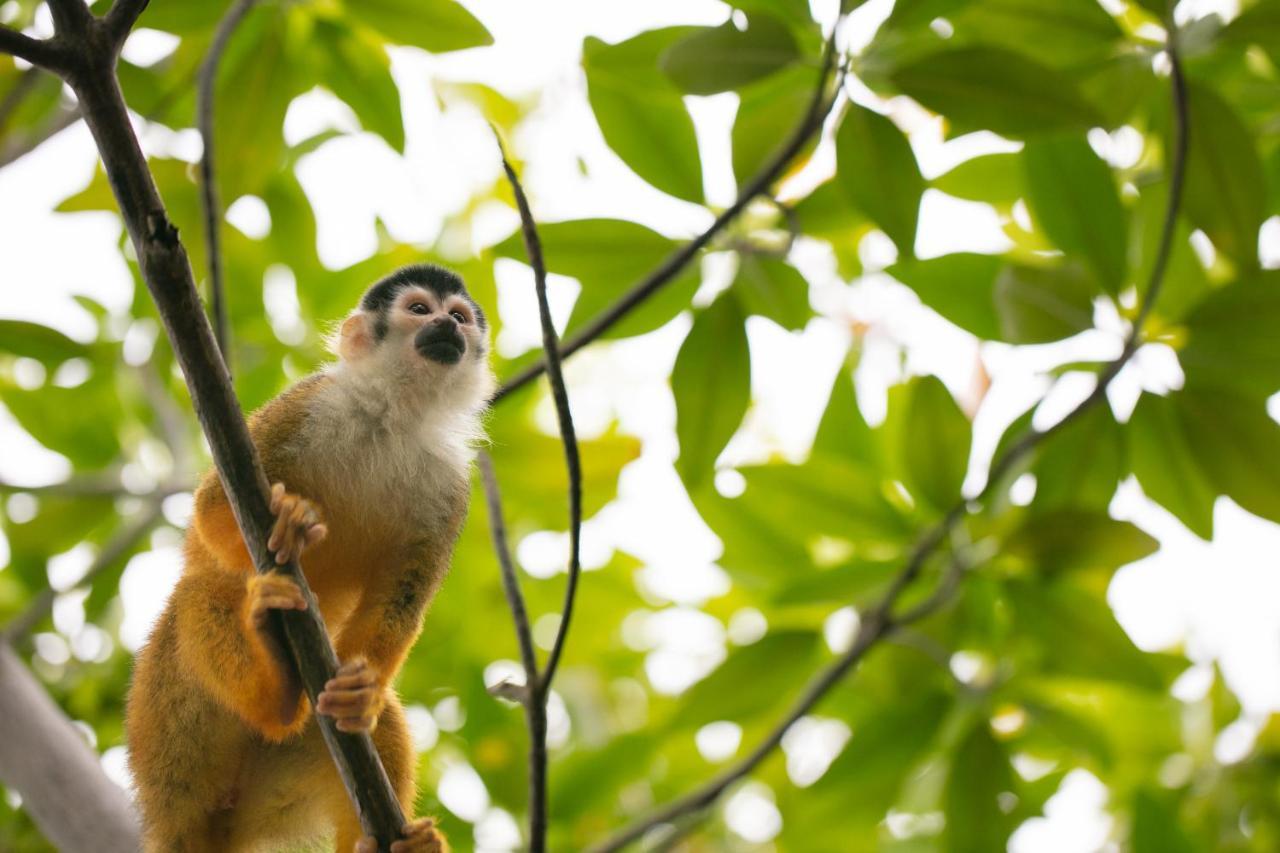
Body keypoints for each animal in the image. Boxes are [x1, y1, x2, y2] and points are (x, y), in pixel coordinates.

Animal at [126, 262, 494, 845]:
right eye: (419, 309)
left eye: (458, 316)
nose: (446, 326)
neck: (392, 415)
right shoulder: (308, 402)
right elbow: (214, 503)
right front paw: (287, 522)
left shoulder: (452, 484)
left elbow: (400, 601)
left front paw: (361, 693)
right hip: (170, 734)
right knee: (204, 590)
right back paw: (272, 686)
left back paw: (380, 841)